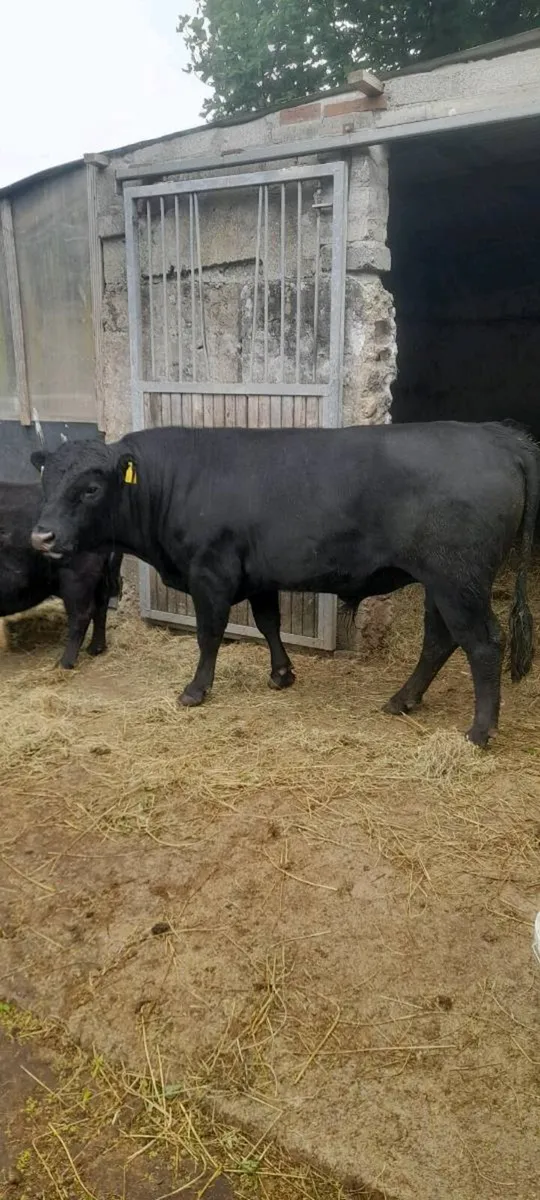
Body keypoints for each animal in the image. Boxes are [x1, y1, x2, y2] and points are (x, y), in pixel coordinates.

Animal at [0, 481, 122, 669]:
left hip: (75, 577)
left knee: (81, 614)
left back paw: (64, 663)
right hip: (102, 576)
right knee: (101, 606)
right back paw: (94, 649)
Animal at [29, 421, 540, 747]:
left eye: (91, 488)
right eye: (46, 481)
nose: (41, 535)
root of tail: (498, 436)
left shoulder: (210, 572)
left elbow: (209, 635)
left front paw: (195, 691)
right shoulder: (258, 575)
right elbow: (268, 622)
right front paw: (281, 674)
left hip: (458, 579)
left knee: (482, 644)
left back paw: (479, 732)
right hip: (441, 583)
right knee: (439, 640)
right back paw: (402, 700)